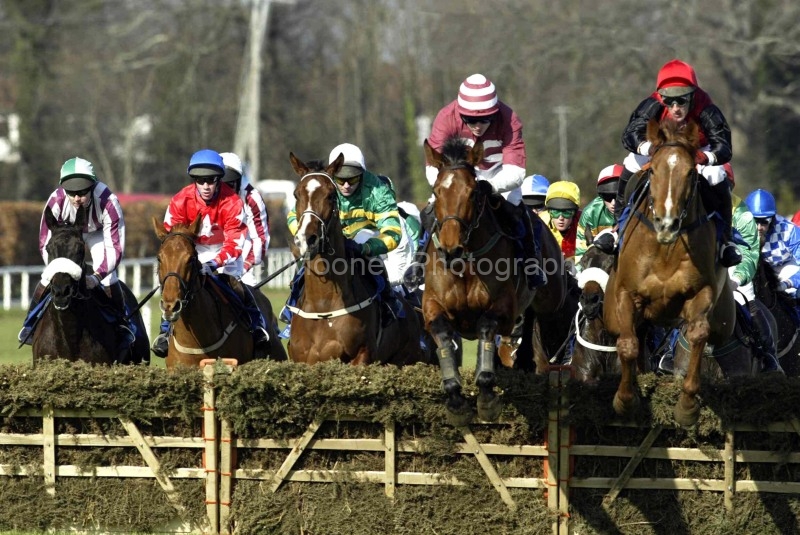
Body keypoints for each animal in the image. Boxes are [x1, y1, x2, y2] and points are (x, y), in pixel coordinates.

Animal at [285, 152, 432, 366]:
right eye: (296, 195)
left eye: (331, 195)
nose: (307, 238)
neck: (323, 305)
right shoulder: (302, 360)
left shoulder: (362, 355)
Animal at [422, 137, 538, 425]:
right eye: (437, 192)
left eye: (473, 193)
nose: (451, 249)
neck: (464, 264)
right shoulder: (431, 305)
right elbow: (442, 334)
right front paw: (455, 398)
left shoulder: (505, 310)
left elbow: (487, 325)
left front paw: (486, 397)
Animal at [604, 118, 736, 427]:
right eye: (653, 170)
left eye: (690, 173)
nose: (667, 223)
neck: (665, 248)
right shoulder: (626, 295)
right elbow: (627, 345)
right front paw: (625, 401)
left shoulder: (702, 293)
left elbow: (698, 334)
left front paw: (687, 406)